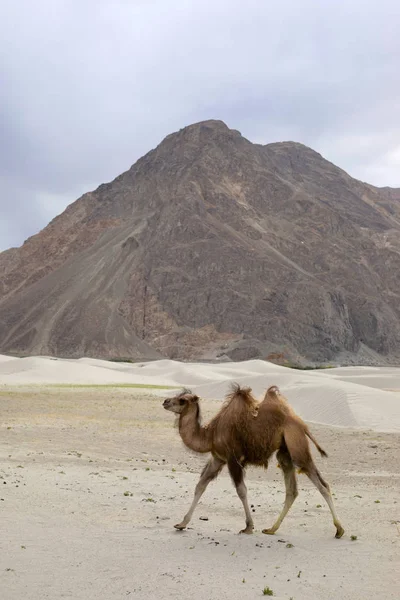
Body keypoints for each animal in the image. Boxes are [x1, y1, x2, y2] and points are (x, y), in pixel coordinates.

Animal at [162, 384, 344, 540]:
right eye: (177, 396)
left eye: (182, 400)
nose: (165, 401)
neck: (211, 435)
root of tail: (302, 425)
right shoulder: (218, 458)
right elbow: (200, 485)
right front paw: (182, 523)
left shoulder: (233, 458)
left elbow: (241, 490)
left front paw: (248, 527)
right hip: (284, 452)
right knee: (292, 490)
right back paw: (271, 529)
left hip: (296, 445)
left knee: (322, 484)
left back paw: (339, 530)